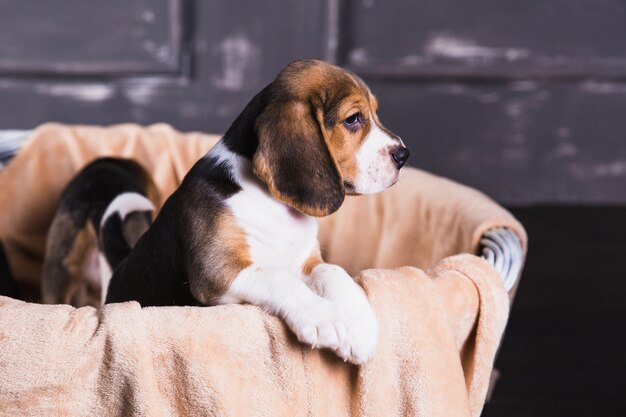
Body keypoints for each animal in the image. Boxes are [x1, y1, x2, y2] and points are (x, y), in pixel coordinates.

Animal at [106, 59, 410, 364]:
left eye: (374, 112)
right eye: (353, 119)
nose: (404, 155)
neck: (272, 204)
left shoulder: (305, 260)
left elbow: (332, 271)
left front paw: (359, 325)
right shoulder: (216, 269)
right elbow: (277, 277)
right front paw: (325, 318)